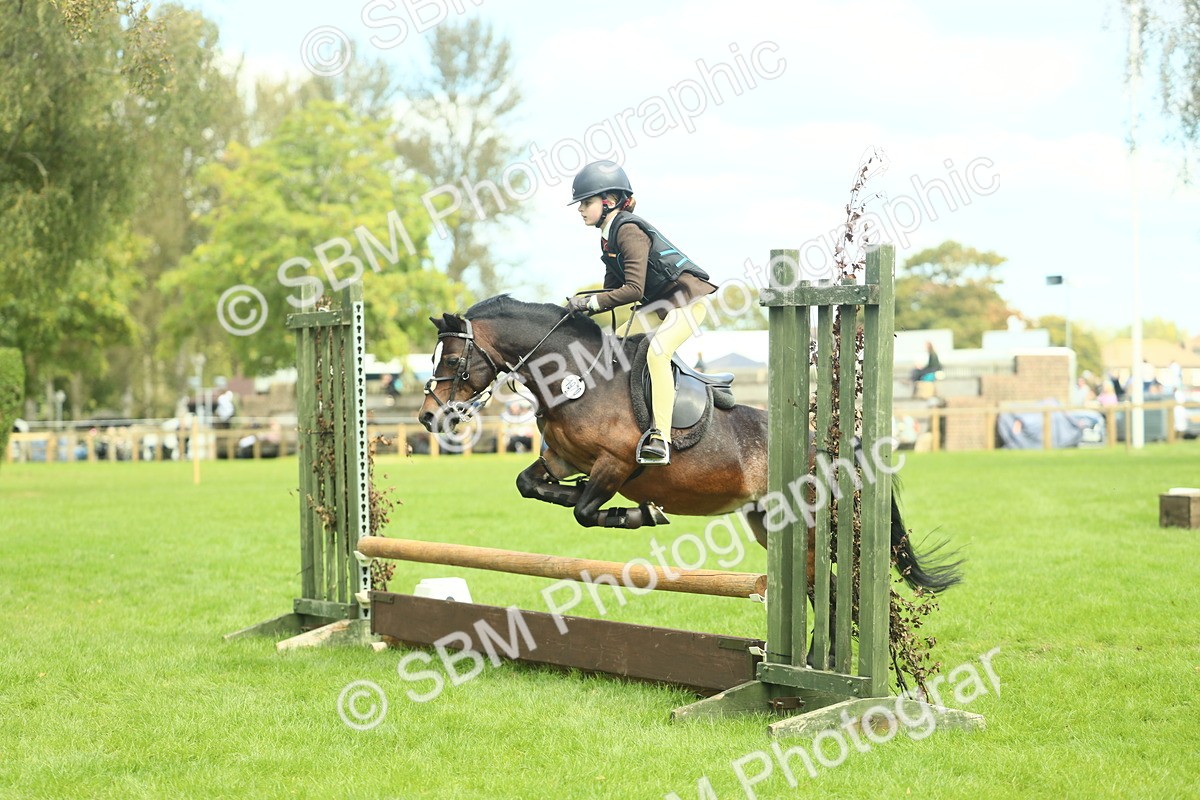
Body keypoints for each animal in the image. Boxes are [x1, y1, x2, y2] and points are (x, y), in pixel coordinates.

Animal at [417, 294, 962, 603]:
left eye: (453, 358)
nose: (427, 416)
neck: (578, 378)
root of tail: (832, 448)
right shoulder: (561, 458)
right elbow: (530, 485)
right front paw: (635, 508)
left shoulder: (615, 463)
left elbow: (586, 511)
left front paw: (639, 513)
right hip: (769, 524)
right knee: (815, 590)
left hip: (807, 529)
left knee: (825, 589)